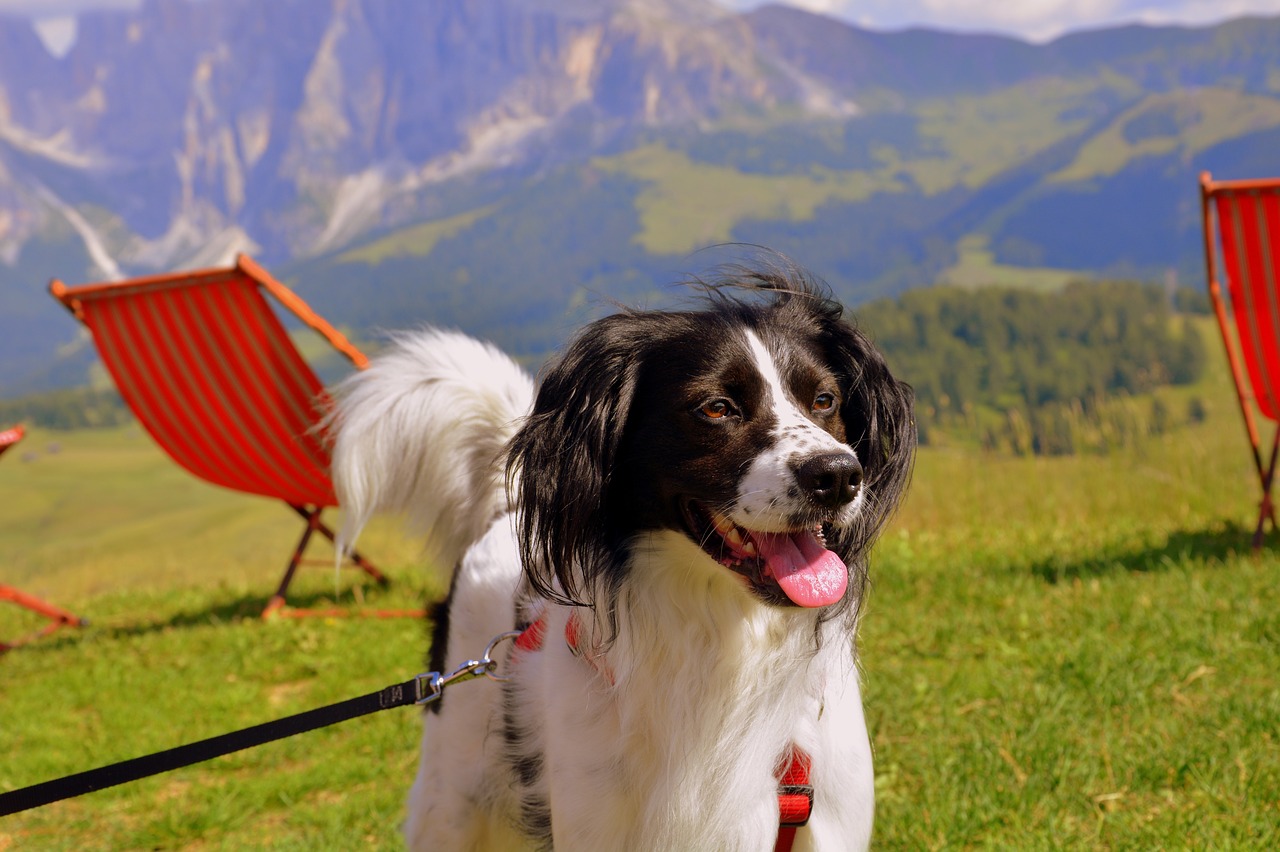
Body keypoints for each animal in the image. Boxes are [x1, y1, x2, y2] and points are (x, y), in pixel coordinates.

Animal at [325, 260, 916, 849]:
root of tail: (503, 507)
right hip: (452, 801)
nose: (838, 476)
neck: (723, 641)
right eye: (717, 408)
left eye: (825, 400)